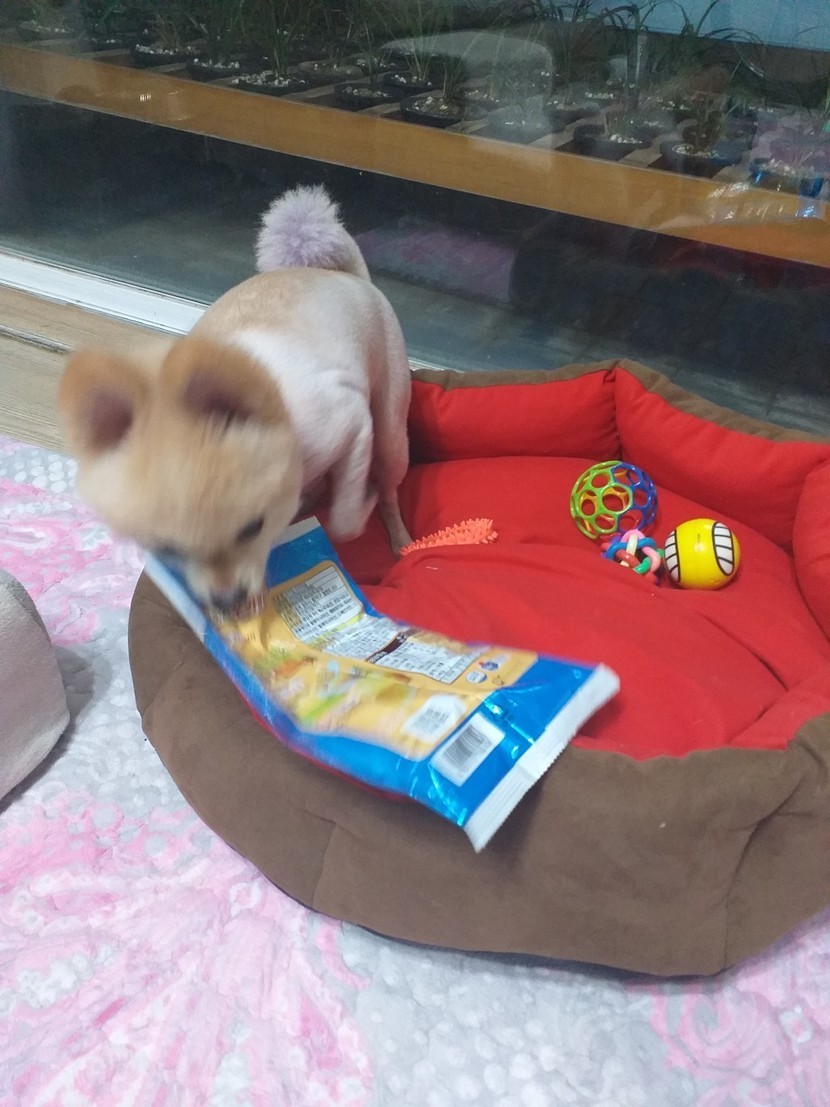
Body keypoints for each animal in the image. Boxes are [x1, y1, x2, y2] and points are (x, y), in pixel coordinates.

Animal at [59, 186, 412, 612]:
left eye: (252, 529)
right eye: (168, 550)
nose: (227, 601)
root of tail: (343, 274)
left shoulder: (352, 421)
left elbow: (344, 520)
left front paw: (361, 503)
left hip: (391, 431)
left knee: (390, 482)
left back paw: (398, 534)